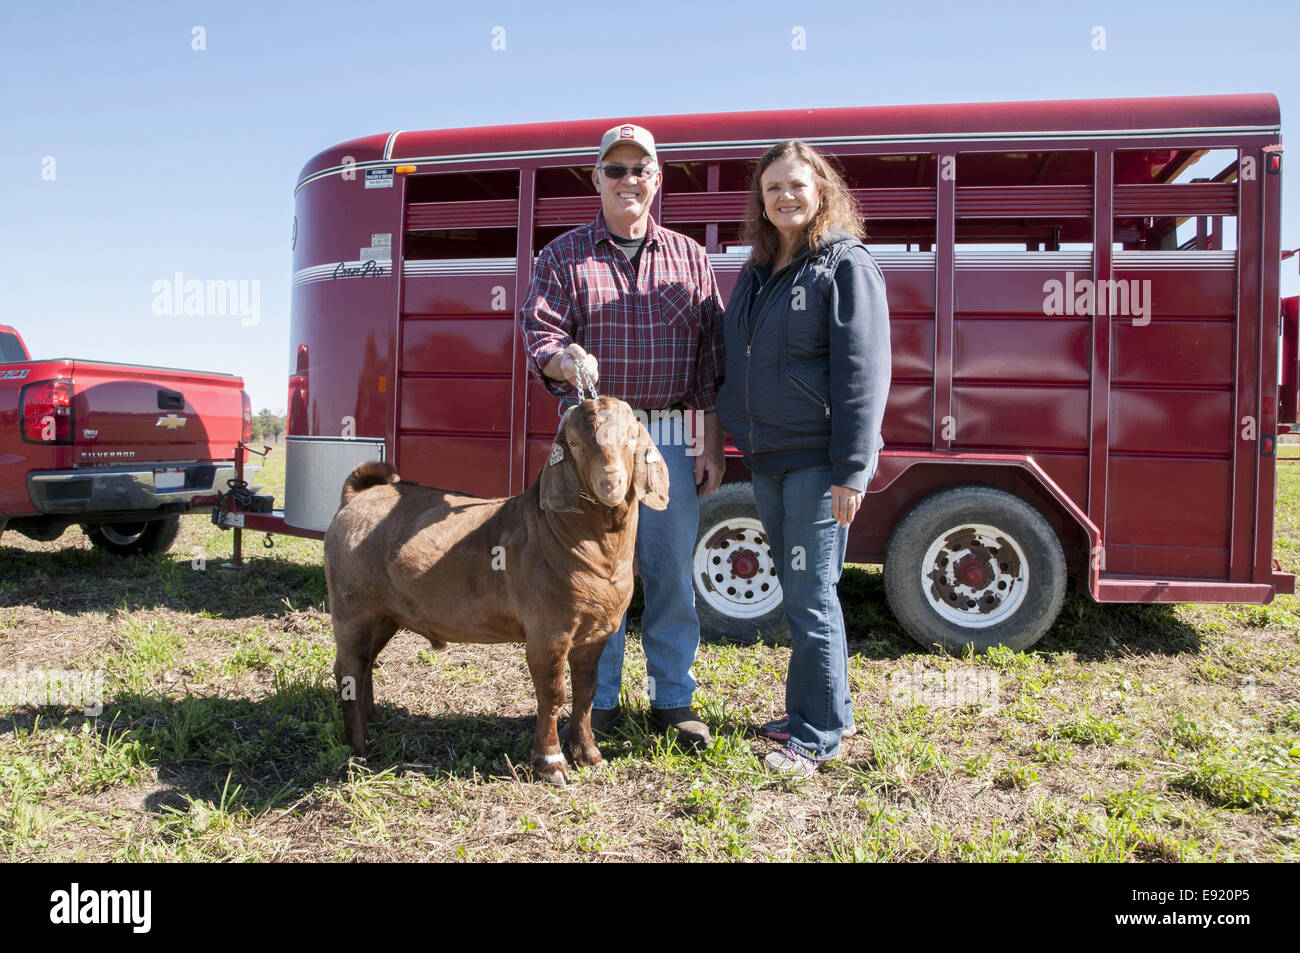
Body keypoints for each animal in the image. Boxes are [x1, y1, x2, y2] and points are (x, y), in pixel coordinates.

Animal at [322, 395, 670, 780]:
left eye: (631, 438)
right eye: (575, 444)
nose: (610, 483)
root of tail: (358, 496)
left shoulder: (595, 633)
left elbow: (586, 691)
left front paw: (588, 754)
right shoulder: (547, 631)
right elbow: (552, 693)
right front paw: (551, 762)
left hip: (386, 614)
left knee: (366, 662)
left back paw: (374, 719)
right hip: (352, 605)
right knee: (349, 669)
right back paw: (361, 747)